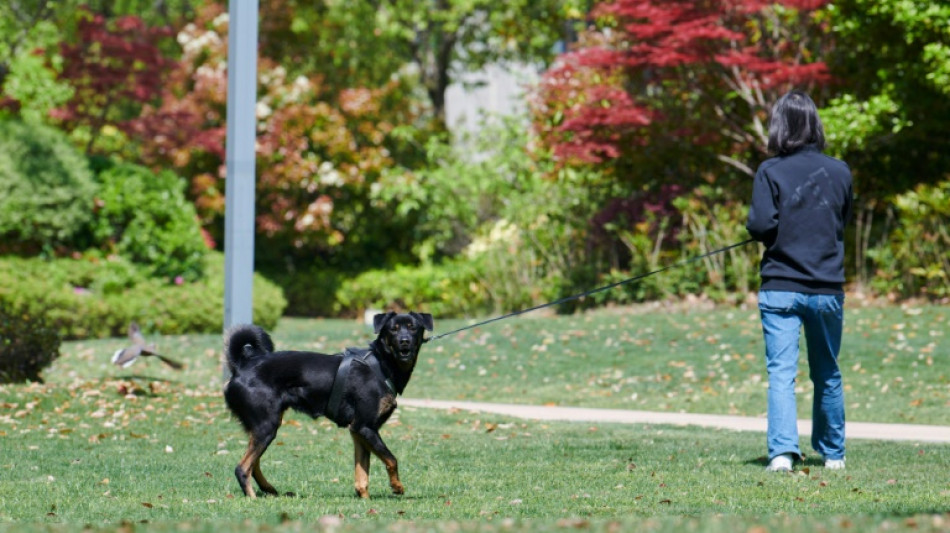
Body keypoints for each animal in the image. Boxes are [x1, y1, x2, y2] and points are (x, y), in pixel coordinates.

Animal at [223, 310, 436, 496]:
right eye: (393, 329)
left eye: (413, 327)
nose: (404, 340)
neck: (382, 365)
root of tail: (242, 366)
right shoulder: (366, 427)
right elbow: (392, 459)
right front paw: (397, 486)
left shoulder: (358, 431)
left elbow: (362, 474)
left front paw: (365, 499)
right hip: (267, 426)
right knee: (242, 467)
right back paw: (252, 497)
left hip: (263, 426)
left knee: (253, 464)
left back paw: (268, 489)